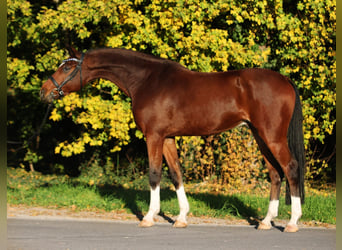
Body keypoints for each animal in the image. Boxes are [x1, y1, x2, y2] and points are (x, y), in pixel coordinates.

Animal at [40, 47, 304, 232]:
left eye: (67, 68)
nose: (44, 91)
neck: (146, 80)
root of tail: (285, 80)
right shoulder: (168, 138)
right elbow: (176, 174)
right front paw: (181, 218)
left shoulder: (154, 136)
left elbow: (155, 174)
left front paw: (149, 217)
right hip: (260, 136)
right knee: (275, 173)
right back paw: (266, 221)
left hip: (272, 136)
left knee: (290, 168)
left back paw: (292, 222)